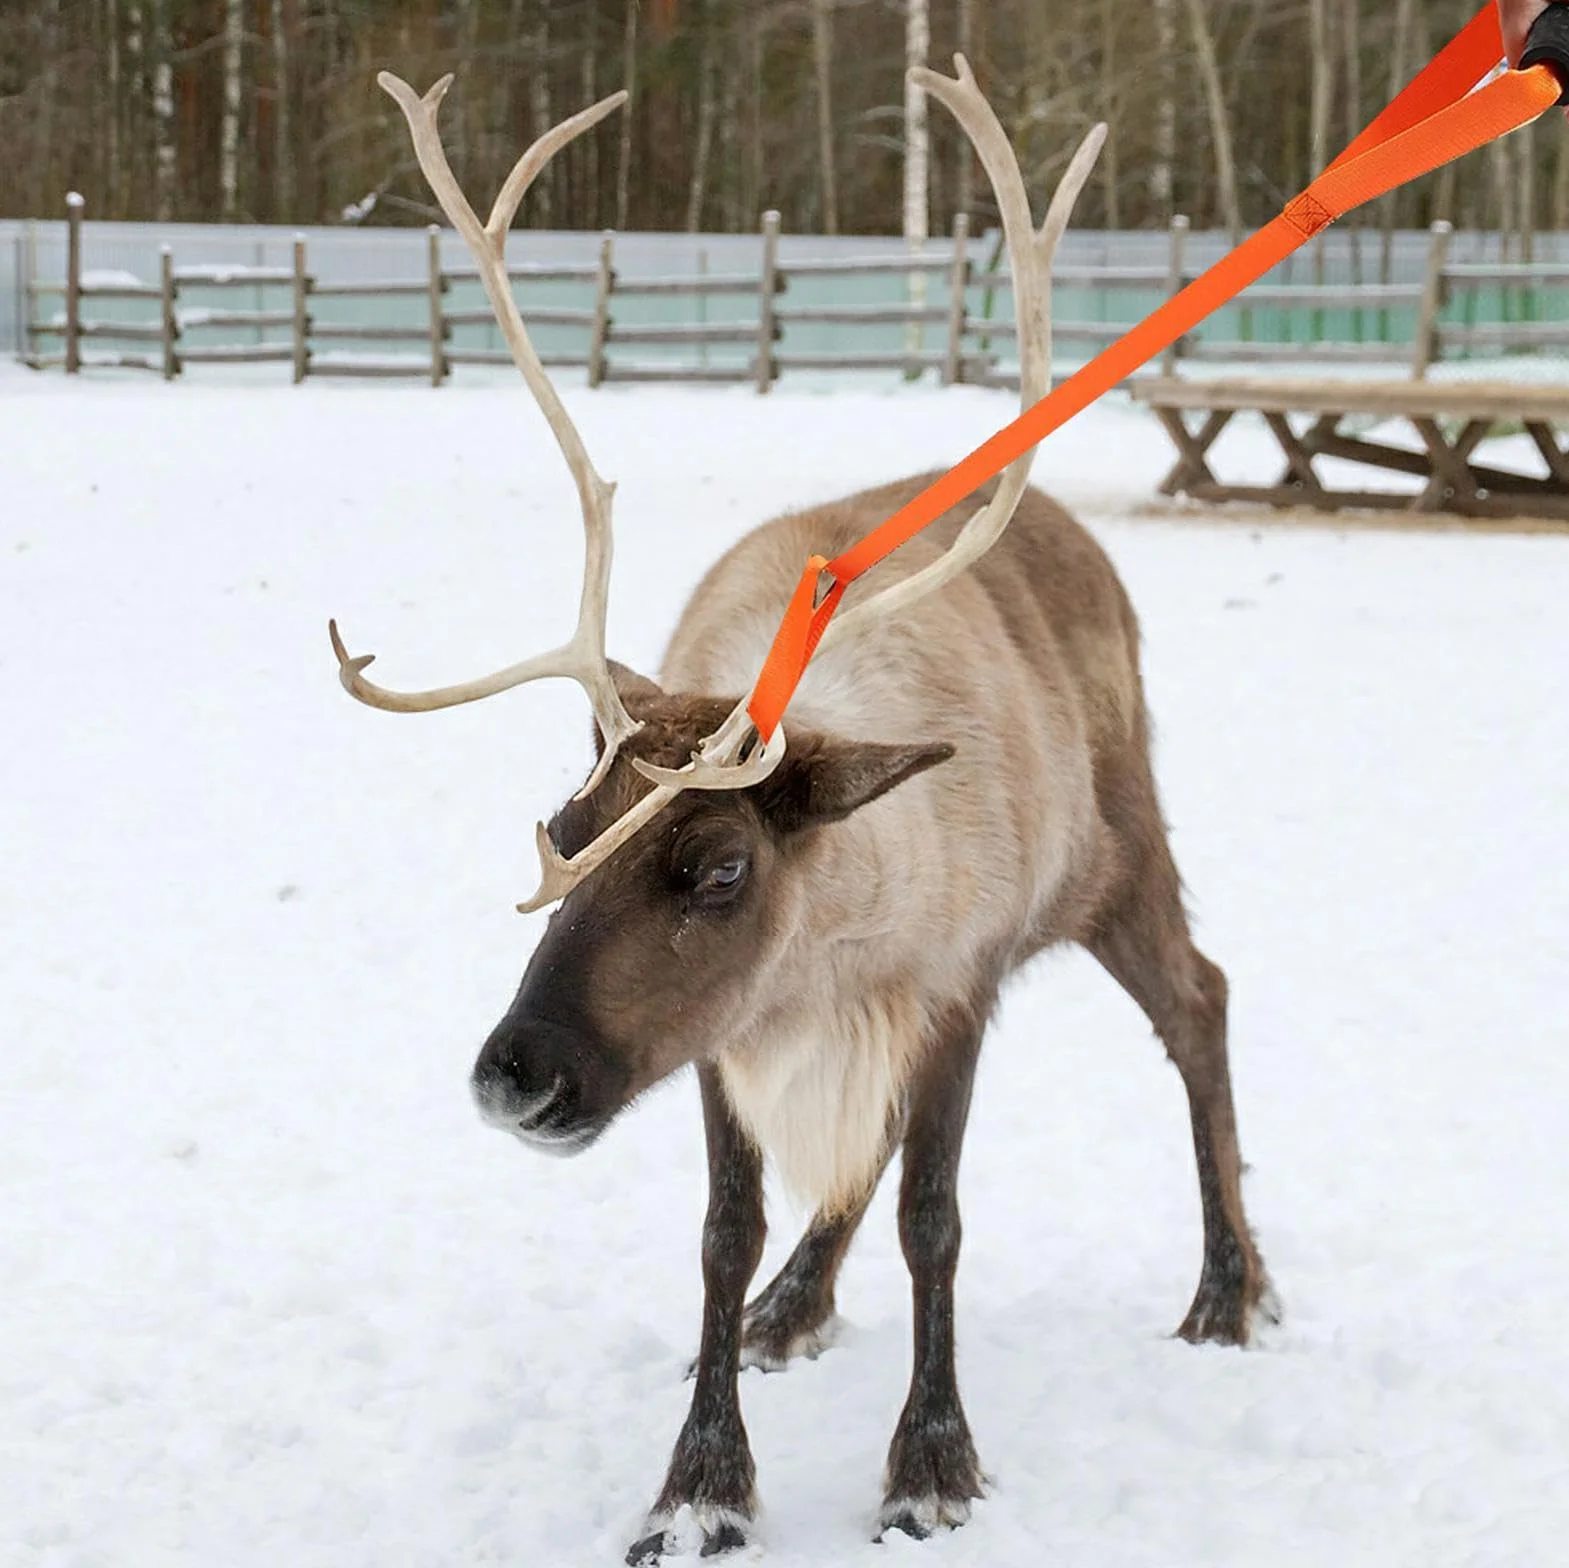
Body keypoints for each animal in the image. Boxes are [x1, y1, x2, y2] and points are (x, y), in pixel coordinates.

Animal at [332, 57, 1274, 1566]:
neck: (837, 945)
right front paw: (701, 1481)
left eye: (718, 867)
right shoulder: (743, 1028)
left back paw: (1230, 1288)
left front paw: (931, 1464)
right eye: (563, 830)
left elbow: (934, 1215)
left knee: (1201, 998)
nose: (517, 1073)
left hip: (1123, 852)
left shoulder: (951, 987)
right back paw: (797, 1301)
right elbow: (726, 1227)